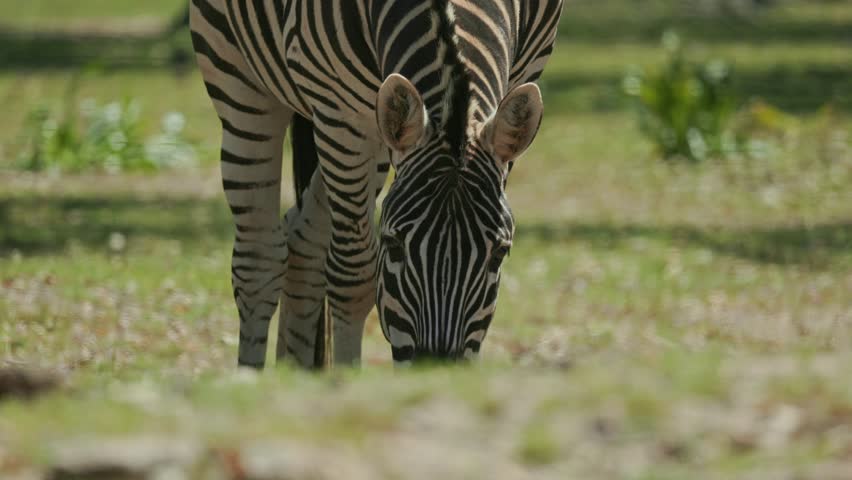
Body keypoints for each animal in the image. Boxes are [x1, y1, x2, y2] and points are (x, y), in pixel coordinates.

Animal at [189, 0, 563, 368]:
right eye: (394, 246)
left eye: (499, 254)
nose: (436, 372)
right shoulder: (338, 111)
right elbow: (351, 276)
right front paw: (345, 378)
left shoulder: (525, 71)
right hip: (239, 76)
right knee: (259, 258)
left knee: (304, 243)